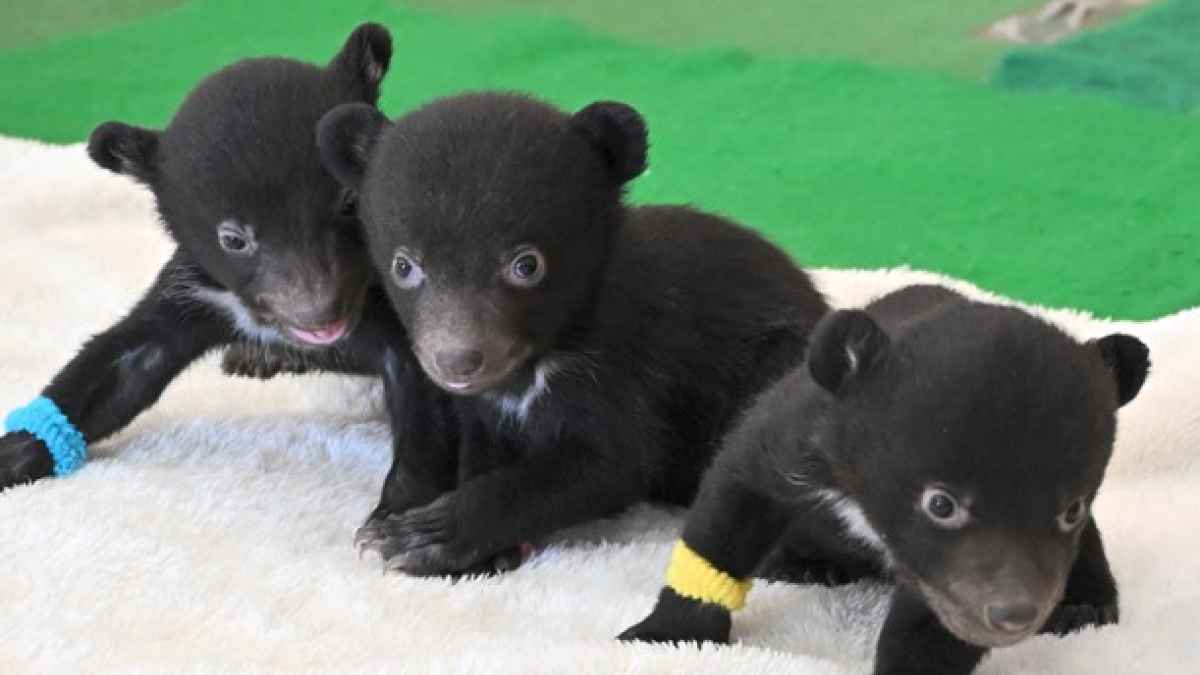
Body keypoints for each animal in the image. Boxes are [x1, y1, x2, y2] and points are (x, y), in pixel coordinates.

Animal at [0, 24, 451, 510]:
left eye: (350, 203)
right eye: (233, 239)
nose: (320, 313)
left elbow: (425, 399)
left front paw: (402, 513)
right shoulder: (197, 289)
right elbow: (120, 368)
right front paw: (16, 453)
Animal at [311, 92, 831, 576]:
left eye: (527, 264)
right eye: (405, 265)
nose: (458, 360)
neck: (536, 362)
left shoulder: (625, 365)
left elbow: (606, 464)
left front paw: (426, 536)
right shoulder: (485, 411)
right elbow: (483, 449)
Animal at [618, 284, 1151, 675]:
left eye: (1071, 510)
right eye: (940, 504)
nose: (1013, 615)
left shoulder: (940, 576)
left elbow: (930, 627)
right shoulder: (790, 439)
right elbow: (725, 518)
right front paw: (667, 634)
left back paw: (1086, 605)